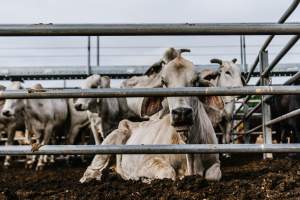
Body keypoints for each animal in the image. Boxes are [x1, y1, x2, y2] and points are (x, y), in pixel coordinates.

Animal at [81, 48, 221, 183]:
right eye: (164, 82)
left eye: (196, 81)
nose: (181, 112)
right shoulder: (147, 162)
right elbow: (168, 172)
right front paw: (144, 179)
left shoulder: (215, 162)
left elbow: (213, 174)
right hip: (112, 140)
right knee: (91, 170)